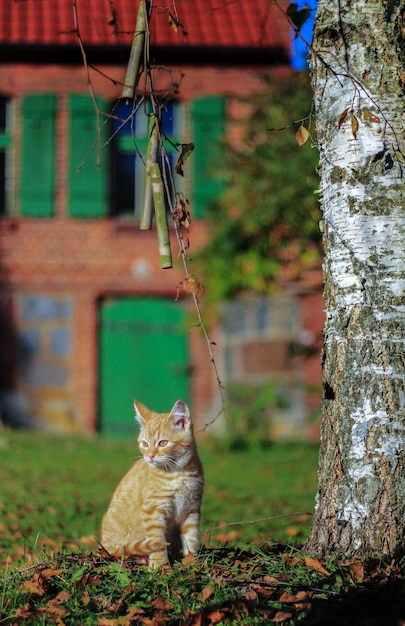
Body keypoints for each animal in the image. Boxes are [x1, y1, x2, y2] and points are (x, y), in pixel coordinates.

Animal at [101, 400, 202, 564]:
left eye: (163, 443)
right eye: (145, 444)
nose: (150, 456)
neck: (178, 473)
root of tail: (105, 546)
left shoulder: (192, 508)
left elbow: (191, 537)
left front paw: (191, 560)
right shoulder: (153, 510)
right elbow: (157, 540)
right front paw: (160, 564)